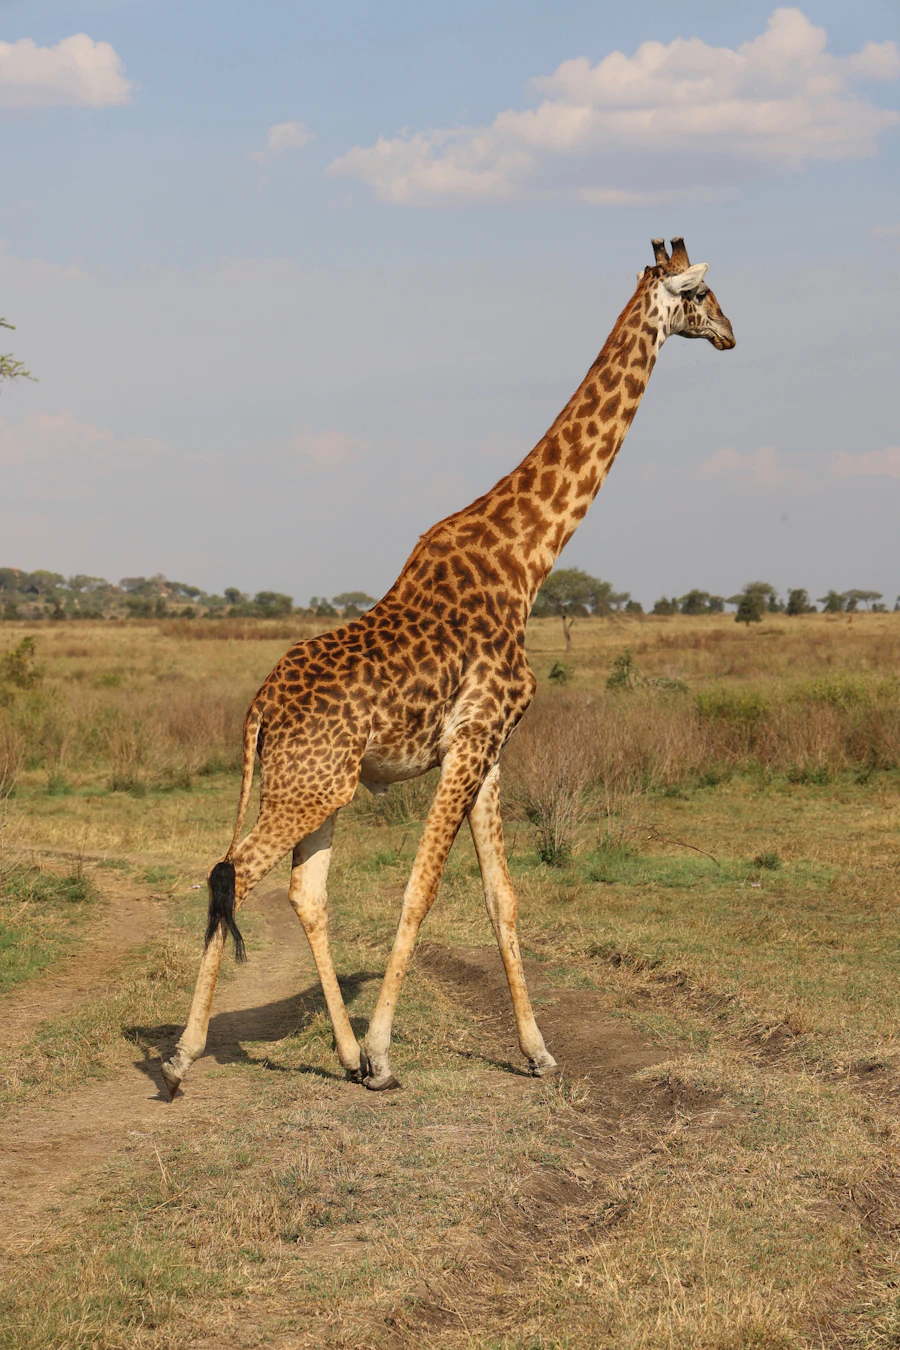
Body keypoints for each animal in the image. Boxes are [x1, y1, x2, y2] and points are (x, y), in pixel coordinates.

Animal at [161, 236, 735, 1098]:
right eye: (698, 294)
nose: (732, 333)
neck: (530, 556)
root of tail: (258, 709)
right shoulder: (471, 736)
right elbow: (421, 888)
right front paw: (387, 1051)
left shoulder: (491, 745)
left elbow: (503, 896)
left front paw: (537, 1052)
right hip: (309, 786)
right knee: (229, 869)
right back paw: (184, 1056)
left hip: (319, 786)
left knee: (301, 889)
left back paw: (338, 1056)